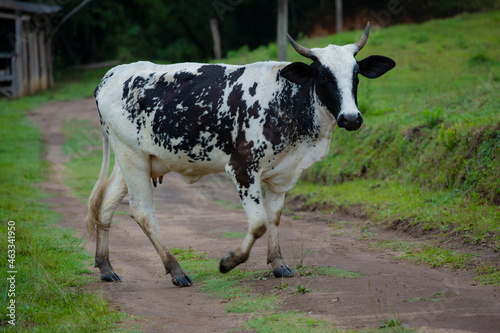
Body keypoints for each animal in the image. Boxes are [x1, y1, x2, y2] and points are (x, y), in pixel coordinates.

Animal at [86, 22, 394, 286]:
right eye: (323, 75)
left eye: (355, 75)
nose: (351, 118)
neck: (287, 101)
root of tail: (112, 74)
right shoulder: (243, 168)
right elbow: (258, 223)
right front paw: (229, 262)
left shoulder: (283, 173)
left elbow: (274, 217)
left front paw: (278, 263)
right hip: (132, 158)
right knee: (142, 211)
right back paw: (176, 270)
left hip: (135, 160)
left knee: (106, 205)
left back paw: (106, 267)